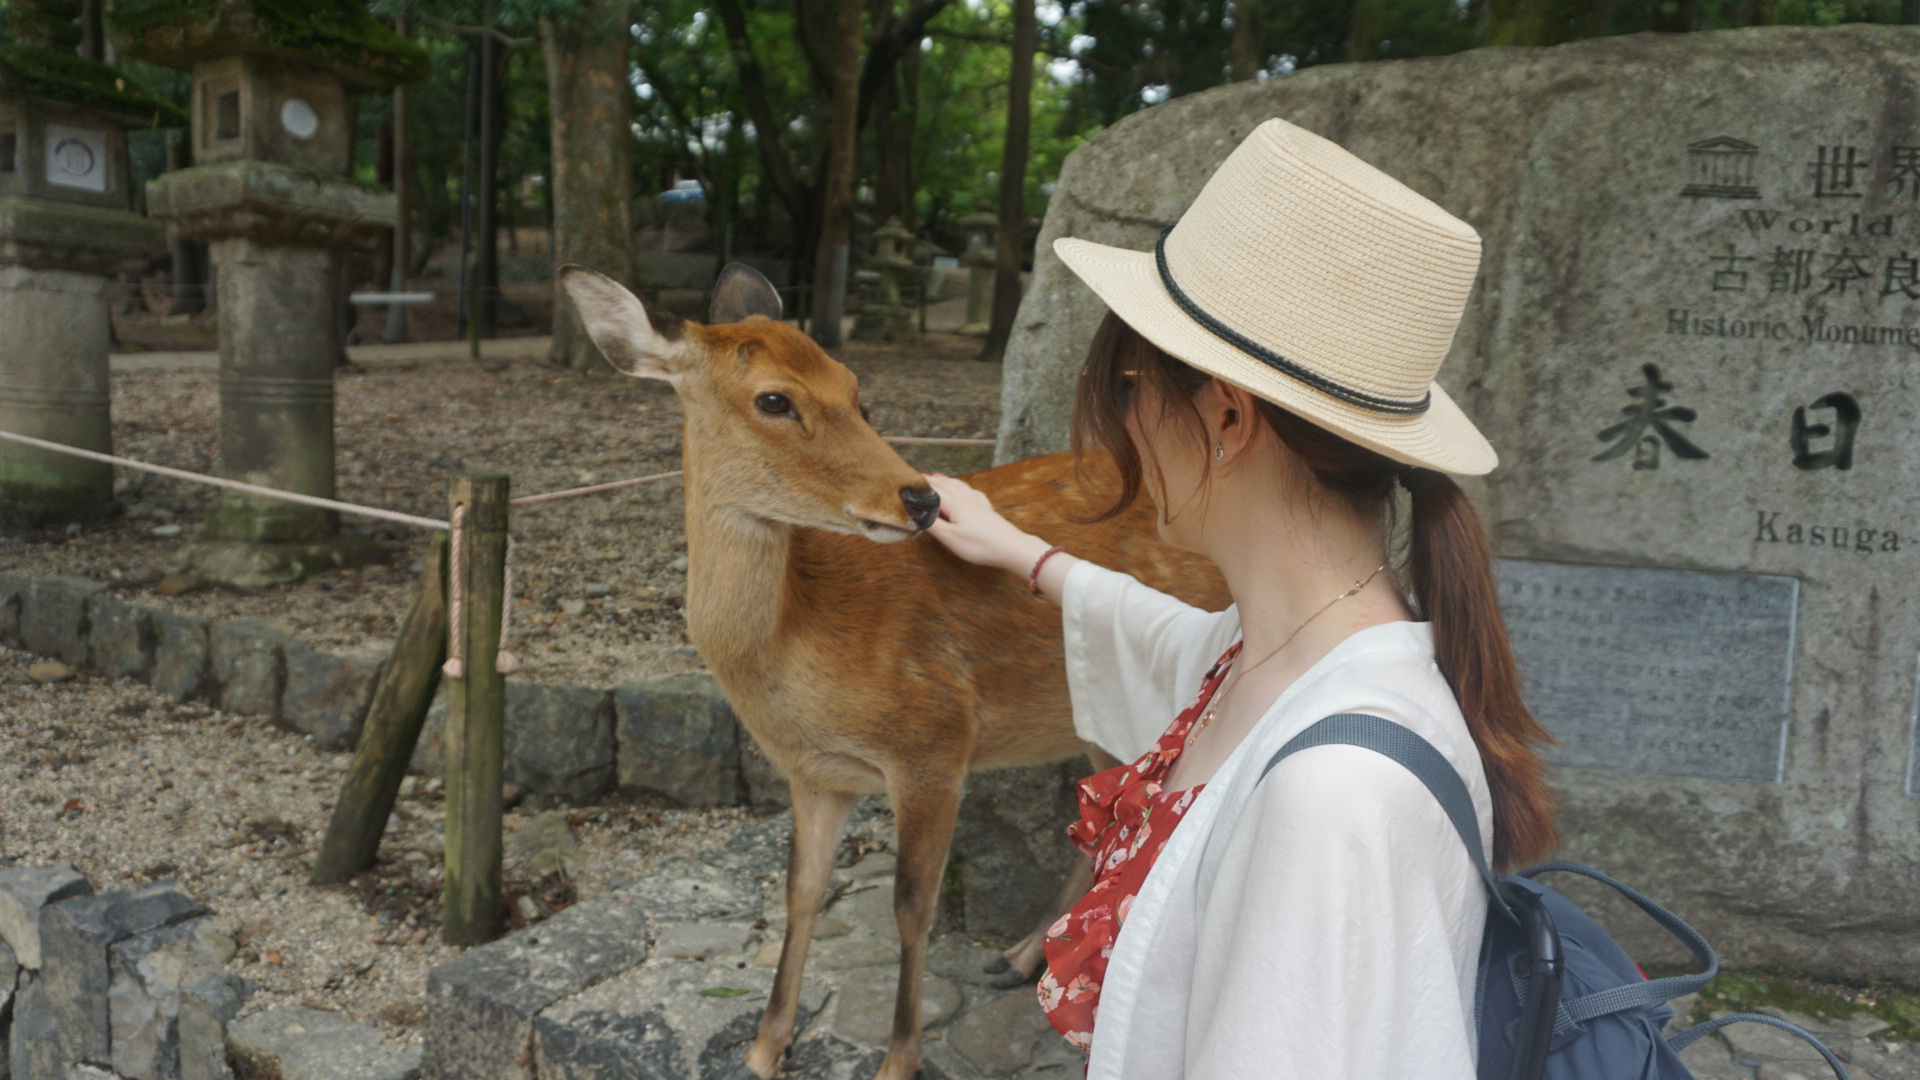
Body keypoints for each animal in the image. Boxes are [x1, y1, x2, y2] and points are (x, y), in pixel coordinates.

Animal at [560, 261, 1228, 1076]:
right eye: (774, 399)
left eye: (856, 390)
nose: (922, 497)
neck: (795, 659)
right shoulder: (814, 772)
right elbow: (801, 891)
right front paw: (763, 1047)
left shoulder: (934, 739)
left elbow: (913, 906)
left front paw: (898, 1058)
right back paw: (1015, 957)